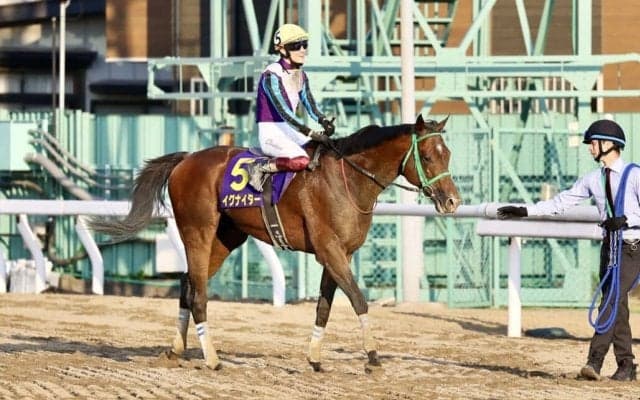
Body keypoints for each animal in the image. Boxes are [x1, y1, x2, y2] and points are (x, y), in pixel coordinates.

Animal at [89, 114, 461, 372]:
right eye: (428, 157)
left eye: (448, 155)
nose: (452, 201)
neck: (348, 180)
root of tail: (186, 159)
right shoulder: (330, 251)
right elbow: (359, 300)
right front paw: (373, 358)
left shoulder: (338, 254)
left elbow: (324, 307)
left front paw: (314, 358)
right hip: (198, 231)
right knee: (198, 294)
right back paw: (212, 359)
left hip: (226, 238)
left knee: (187, 283)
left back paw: (176, 350)